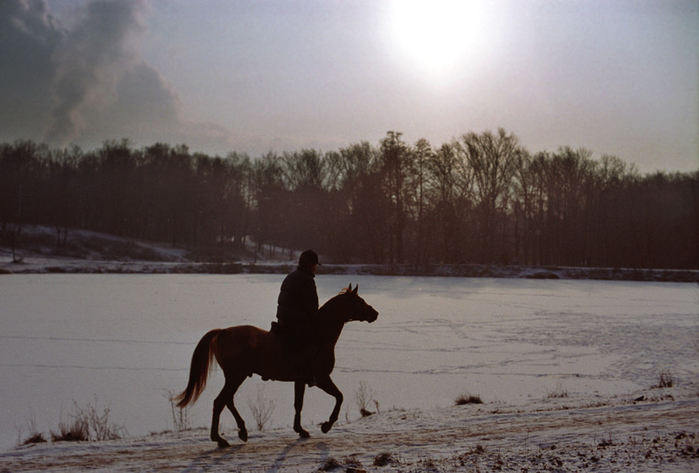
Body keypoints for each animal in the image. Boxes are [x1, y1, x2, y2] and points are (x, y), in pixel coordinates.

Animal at [178, 284, 380, 446]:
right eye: (359, 301)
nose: (375, 314)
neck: (321, 334)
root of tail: (224, 332)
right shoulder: (322, 378)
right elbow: (339, 397)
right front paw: (327, 425)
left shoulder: (300, 380)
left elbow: (298, 404)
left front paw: (301, 430)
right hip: (236, 376)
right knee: (220, 402)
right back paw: (219, 439)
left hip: (235, 377)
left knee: (228, 401)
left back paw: (242, 431)